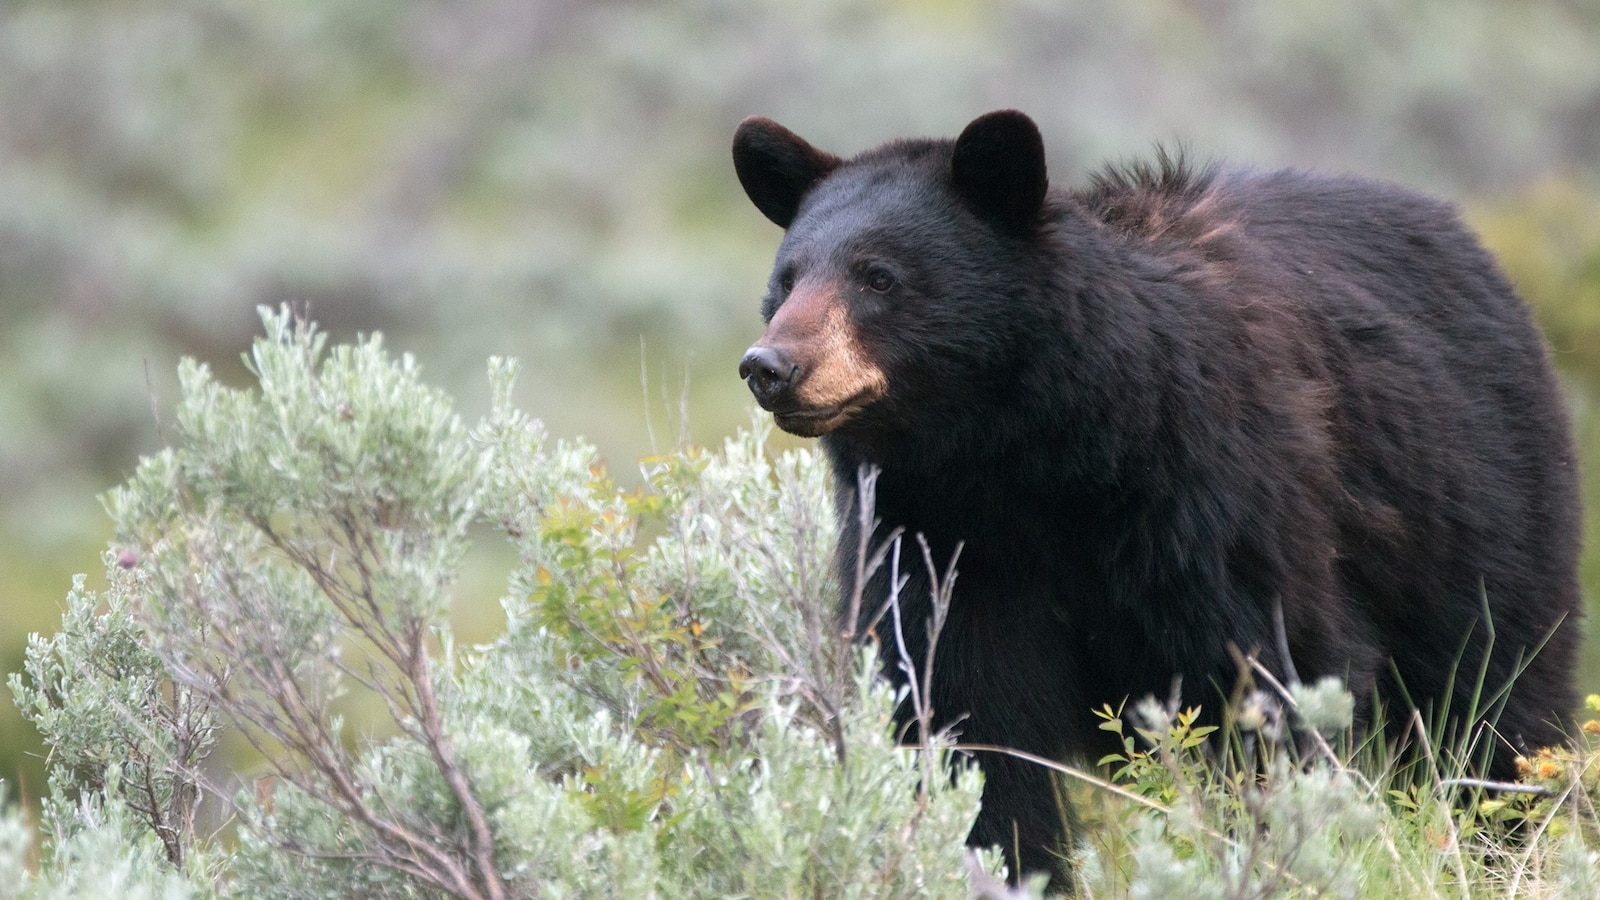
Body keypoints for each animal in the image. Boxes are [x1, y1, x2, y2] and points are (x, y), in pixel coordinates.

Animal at [732, 110, 1580, 883]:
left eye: (878, 275)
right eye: (787, 278)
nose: (771, 366)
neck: (1025, 460)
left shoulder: (1213, 497)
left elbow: (1268, 676)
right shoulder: (935, 541)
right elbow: (966, 722)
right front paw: (1010, 865)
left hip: (1481, 508)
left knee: (1497, 697)